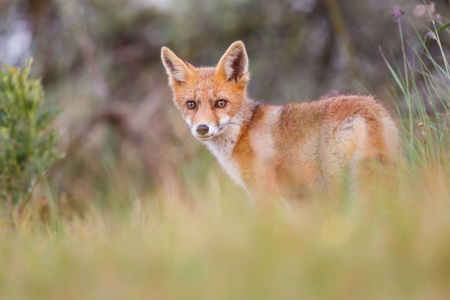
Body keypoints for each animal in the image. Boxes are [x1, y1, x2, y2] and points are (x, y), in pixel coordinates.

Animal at [160, 40, 400, 202]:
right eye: (191, 104)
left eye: (221, 103)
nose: (202, 128)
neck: (242, 133)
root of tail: (366, 107)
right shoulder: (298, 199)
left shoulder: (263, 191)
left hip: (338, 183)